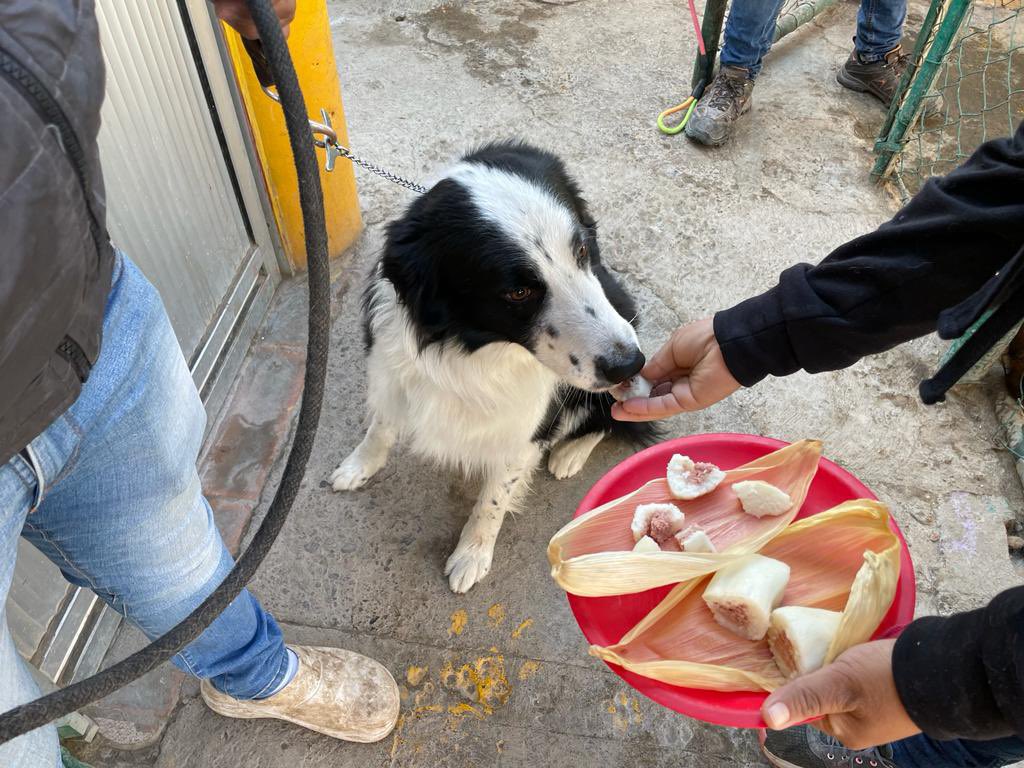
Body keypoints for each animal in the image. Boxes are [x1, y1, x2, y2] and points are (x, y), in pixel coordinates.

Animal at [331, 143, 659, 593]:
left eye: (581, 251)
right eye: (518, 291)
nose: (628, 364)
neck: (473, 350)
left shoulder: (527, 428)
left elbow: (494, 499)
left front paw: (472, 555)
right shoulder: (392, 371)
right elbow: (380, 427)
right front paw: (358, 466)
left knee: (612, 415)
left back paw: (570, 453)